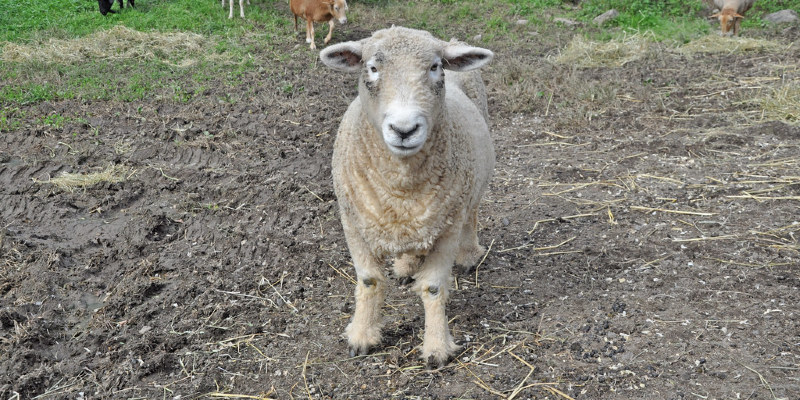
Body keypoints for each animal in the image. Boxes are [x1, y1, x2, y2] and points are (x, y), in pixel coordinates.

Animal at [318, 26, 494, 368]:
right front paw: (362, 335)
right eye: (372, 68)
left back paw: (468, 254)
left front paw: (437, 346)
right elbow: (369, 281)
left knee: (473, 213)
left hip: (471, 186)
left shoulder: (447, 230)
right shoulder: (353, 223)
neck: (401, 185)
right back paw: (406, 265)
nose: (404, 129)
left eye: (435, 67)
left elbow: (434, 287)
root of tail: (453, 43)